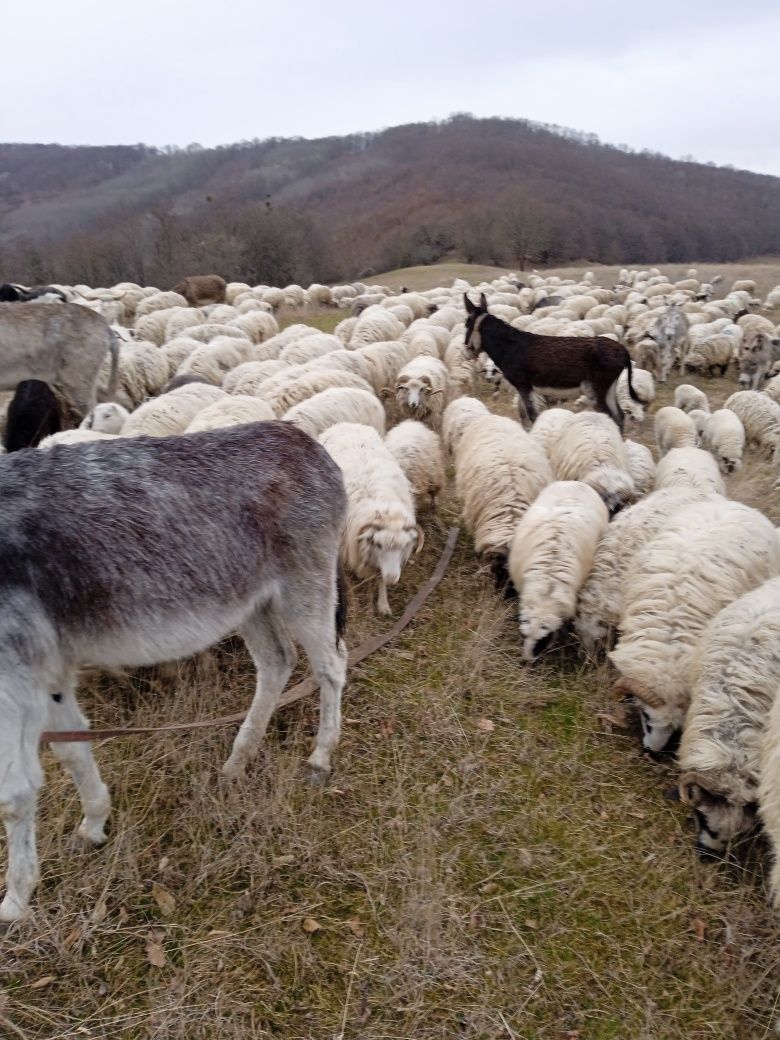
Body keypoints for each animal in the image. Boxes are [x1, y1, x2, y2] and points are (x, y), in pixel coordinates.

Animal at [318, 424, 422, 615]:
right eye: (379, 545)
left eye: (404, 546)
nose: (392, 578)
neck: (382, 506)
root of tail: (345, 424)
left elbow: (380, 579)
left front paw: (383, 604)